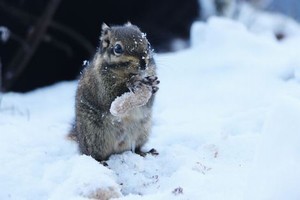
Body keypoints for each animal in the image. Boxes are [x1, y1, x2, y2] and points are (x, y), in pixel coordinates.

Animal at [69, 22, 159, 162]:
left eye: (148, 43)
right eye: (117, 48)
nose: (144, 62)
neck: (128, 74)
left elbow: (148, 102)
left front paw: (153, 86)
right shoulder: (101, 86)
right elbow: (110, 98)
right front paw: (133, 83)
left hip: (143, 131)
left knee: (136, 148)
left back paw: (145, 152)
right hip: (95, 136)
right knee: (95, 155)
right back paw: (101, 162)